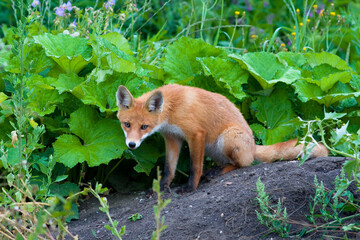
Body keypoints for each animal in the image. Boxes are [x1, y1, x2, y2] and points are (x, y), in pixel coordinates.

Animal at [116, 84, 330, 191]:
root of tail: (254, 145)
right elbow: (169, 169)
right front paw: (161, 188)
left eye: (144, 127)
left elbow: (194, 166)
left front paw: (190, 188)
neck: (172, 108)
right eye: (127, 124)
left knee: (244, 164)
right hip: (214, 149)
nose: (132, 145)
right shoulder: (172, 138)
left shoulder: (196, 134)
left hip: (227, 138)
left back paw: (217, 173)